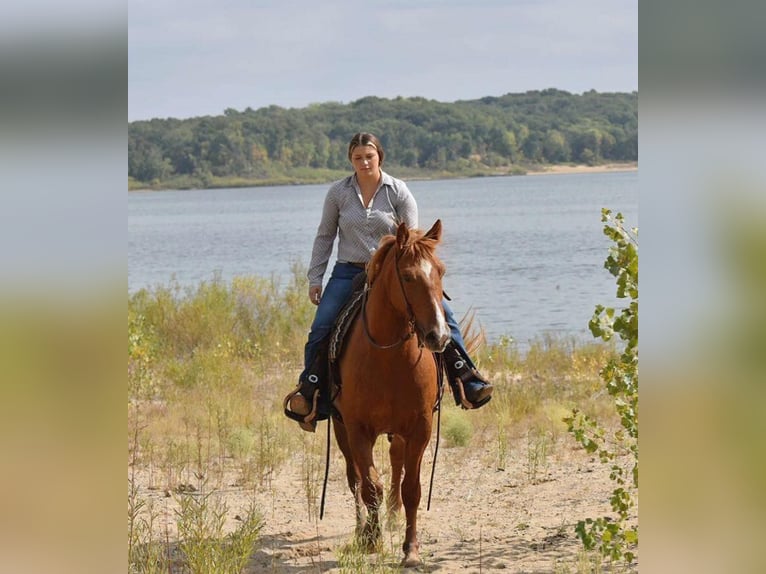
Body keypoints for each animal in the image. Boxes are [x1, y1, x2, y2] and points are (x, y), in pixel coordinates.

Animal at [332, 219, 450, 568]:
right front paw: (371, 538)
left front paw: (411, 550)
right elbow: (370, 485)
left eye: (441, 272)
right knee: (354, 478)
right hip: (340, 428)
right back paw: (362, 529)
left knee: (396, 462)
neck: (388, 358)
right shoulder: (357, 428)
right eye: (408, 277)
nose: (439, 336)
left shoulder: (420, 428)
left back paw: (394, 517)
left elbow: (412, 488)